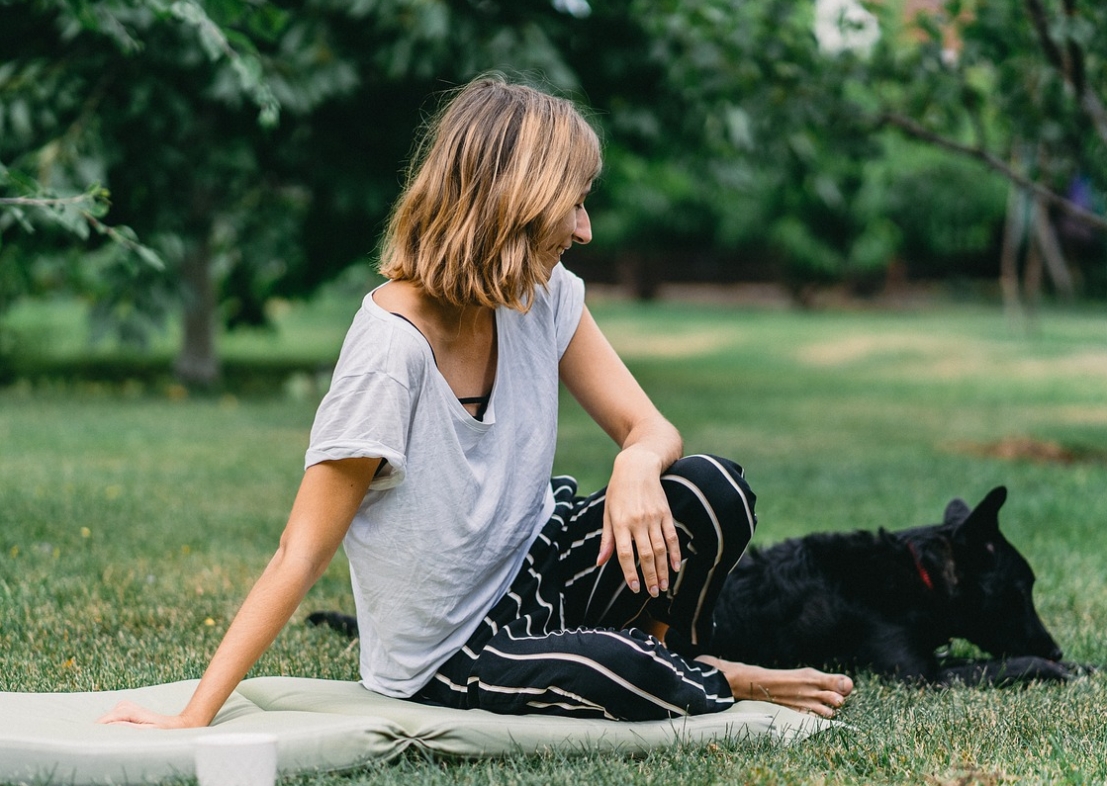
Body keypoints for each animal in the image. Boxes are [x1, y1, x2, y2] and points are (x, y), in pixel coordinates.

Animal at [708, 482, 1080, 686]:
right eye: (1020, 591)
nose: (1056, 650)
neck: (922, 576)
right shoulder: (922, 676)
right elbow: (1014, 663)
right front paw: (1056, 667)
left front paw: (1076, 665)